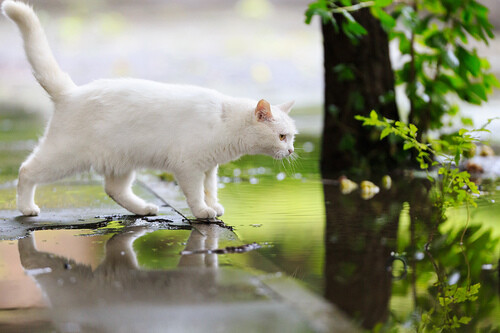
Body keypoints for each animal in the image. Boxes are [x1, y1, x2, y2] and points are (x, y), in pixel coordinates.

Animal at [0, 1, 296, 218]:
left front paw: (213, 206)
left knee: (114, 190)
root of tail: (71, 92)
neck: (225, 123)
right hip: (65, 157)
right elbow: (196, 194)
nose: (292, 150)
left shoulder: (209, 169)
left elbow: (210, 190)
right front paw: (203, 212)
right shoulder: (188, 167)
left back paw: (144, 209)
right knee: (26, 170)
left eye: (292, 137)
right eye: (282, 136)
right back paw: (26, 208)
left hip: (120, 161)